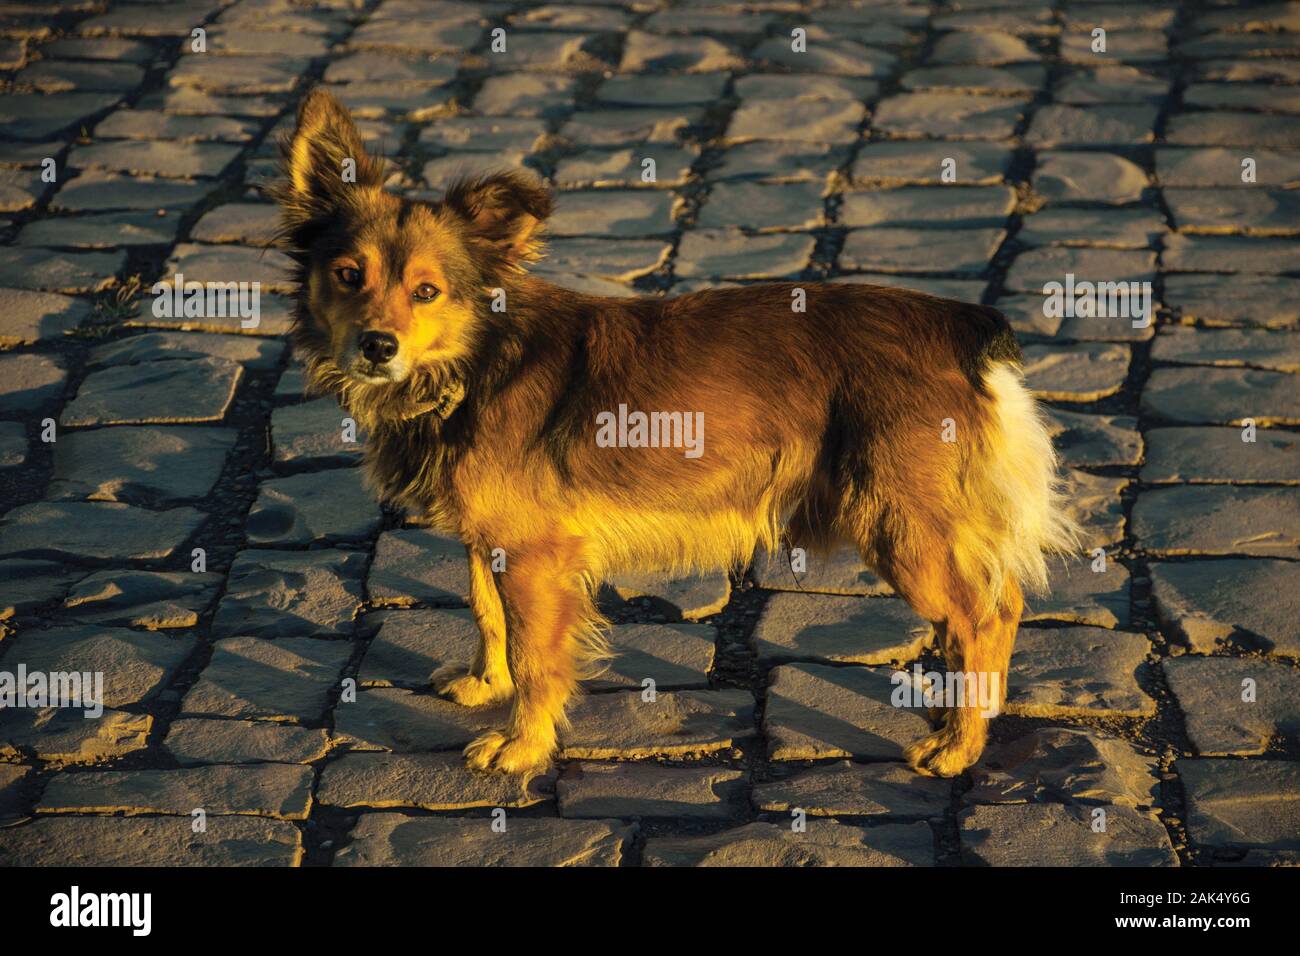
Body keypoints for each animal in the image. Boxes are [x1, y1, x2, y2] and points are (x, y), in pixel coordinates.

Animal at [274, 87, 1076, 780]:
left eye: (427, 292)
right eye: (347, 275)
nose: (377, 346)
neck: (474, 363)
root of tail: (960, 326)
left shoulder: (537, 556)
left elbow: (536, 654)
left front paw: (522, 745)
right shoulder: (493, 539)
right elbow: (486, 613)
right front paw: (484, 683)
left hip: (896, 526)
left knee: (987, 616)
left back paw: (959, 744)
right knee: (993, 609)